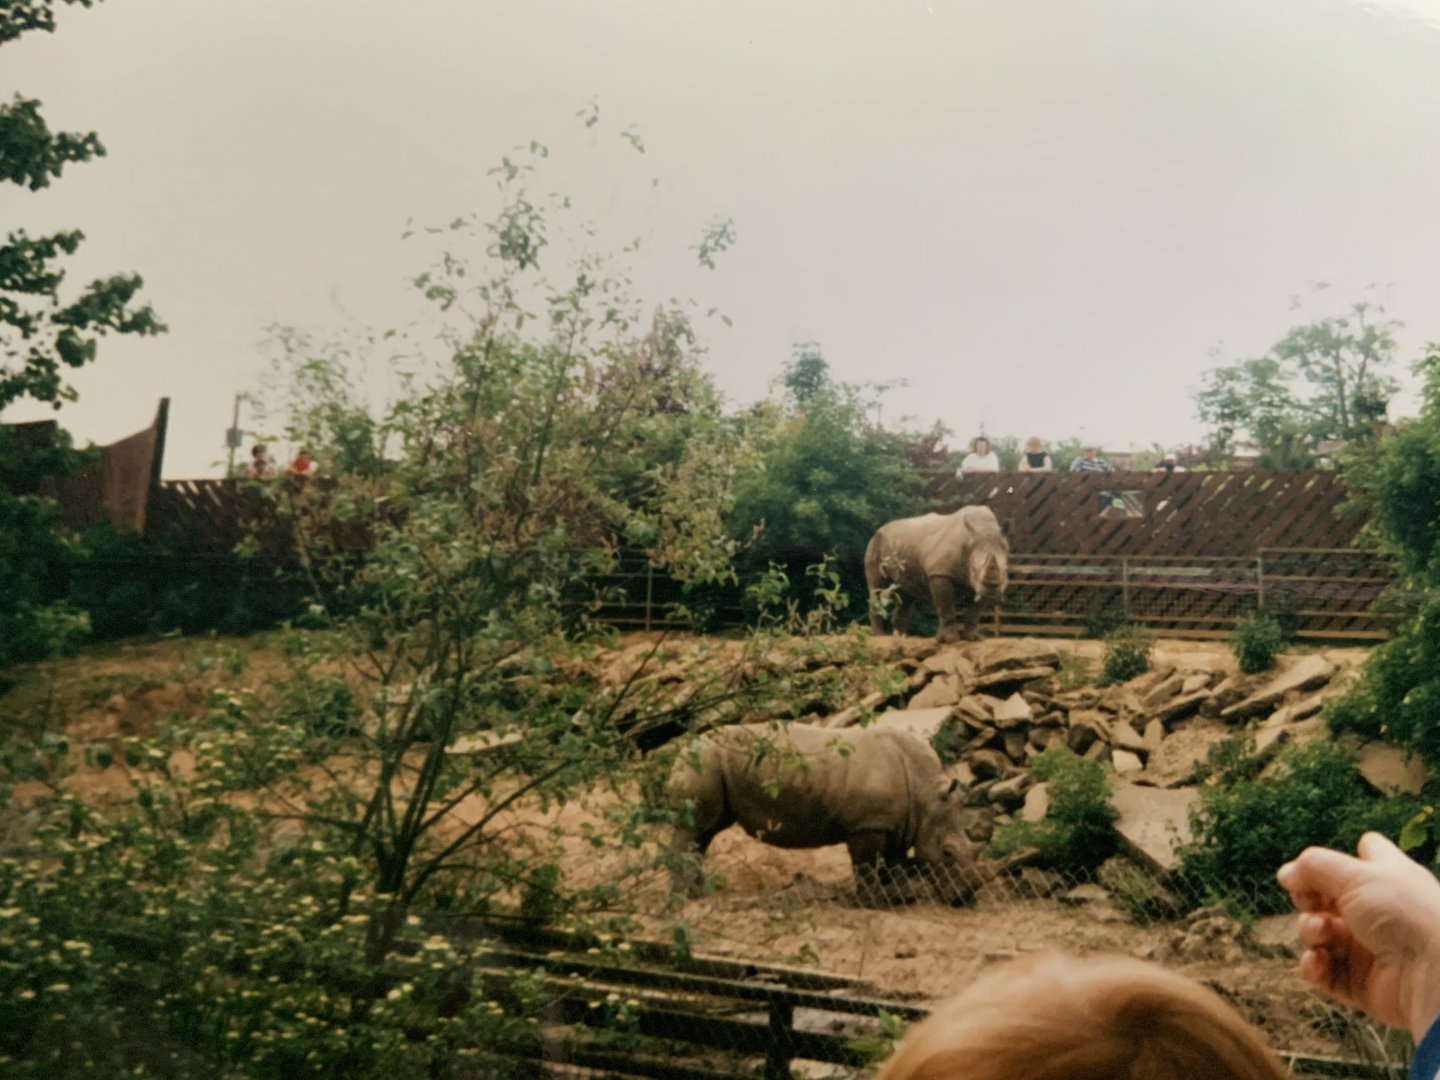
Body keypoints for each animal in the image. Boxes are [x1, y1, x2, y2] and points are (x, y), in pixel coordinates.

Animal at [666, 721, 984, 906]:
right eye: (947, 854)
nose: (966, 896)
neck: (927, 795)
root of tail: (681, 748)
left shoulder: (898, 822)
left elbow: (895, 859)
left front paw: (903, 898)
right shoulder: (867, 824)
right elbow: (866, 864)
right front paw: (871, 903)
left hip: (711, 764)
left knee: (704, 832)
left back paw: (703, 892)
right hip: (704, 761)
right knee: (695, 829)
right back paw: (687, 898)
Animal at [865, 504, 1009, 642]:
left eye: (1005, 571)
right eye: (973, 570)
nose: (991, 593)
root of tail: (878, 529)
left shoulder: (976, 586)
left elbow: (973, 612)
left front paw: (973, 638)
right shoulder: (939, 573)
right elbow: (946, 607)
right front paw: (948, 640)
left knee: (906, 595)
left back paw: (900, 638)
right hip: (875, 544)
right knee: (878, 588)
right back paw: (879, 635)